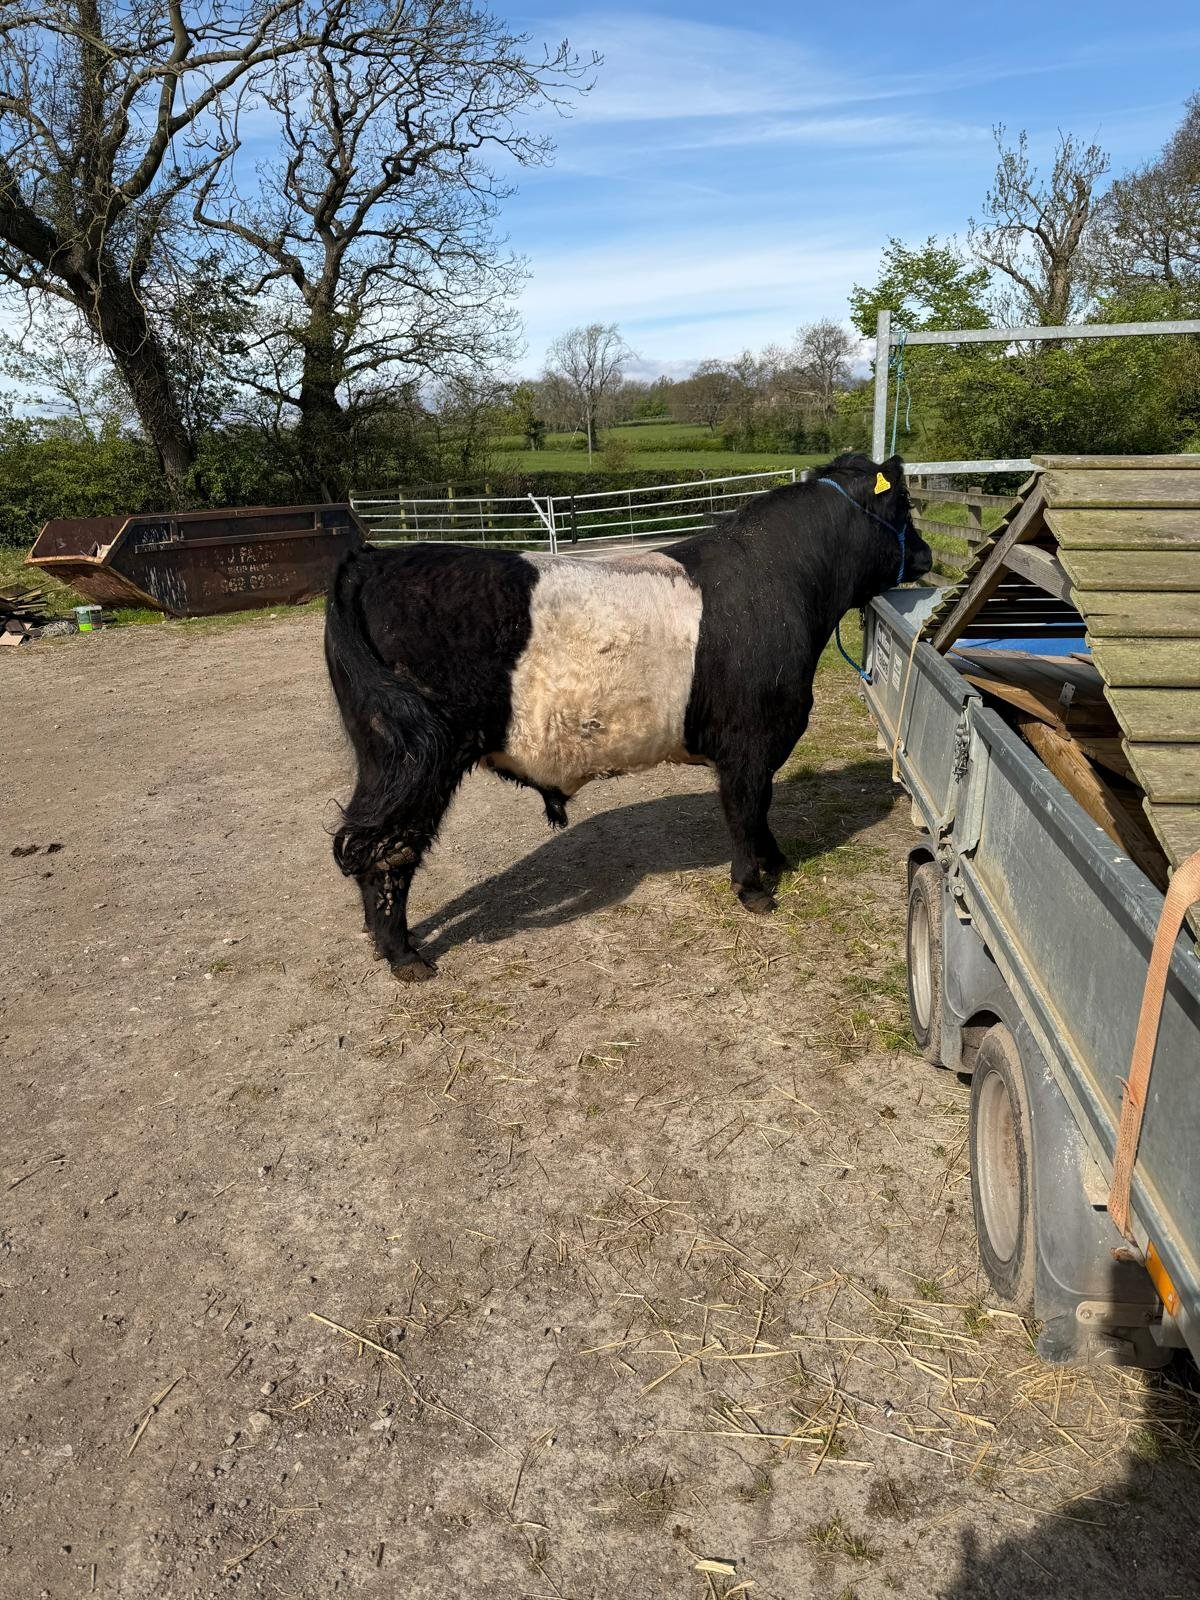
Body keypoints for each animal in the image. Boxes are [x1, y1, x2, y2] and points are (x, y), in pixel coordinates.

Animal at [325, 452, 932, 980]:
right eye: (904, 502)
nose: (926, 554)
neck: (784, 583)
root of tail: (372, 560)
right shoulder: (750, 741)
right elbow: (746, 810)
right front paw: (754, 888)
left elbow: (759, 812)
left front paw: (777, 861)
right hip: (411, 758)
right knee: (385, 850)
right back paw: (404, 955)